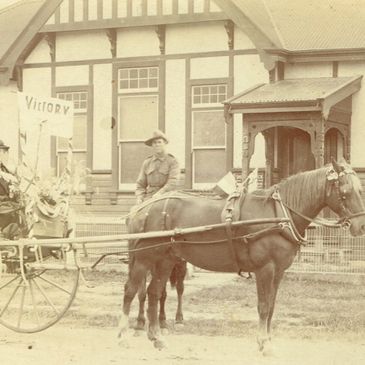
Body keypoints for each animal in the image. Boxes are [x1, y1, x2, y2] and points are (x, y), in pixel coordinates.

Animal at [118, 160, 364, 352]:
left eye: (359, 189)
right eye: (346, 192)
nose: (360, 226)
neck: (278, 215)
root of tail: (141, 208)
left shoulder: (278, 272)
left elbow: (271, 306)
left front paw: (268, 340)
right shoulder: (265, 269)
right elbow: (263, 306)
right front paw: (264, 343)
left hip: (165, 260)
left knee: (153, 293)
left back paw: (157, 338)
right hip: (143, 259)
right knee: (131, 291)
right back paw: (123, 334)